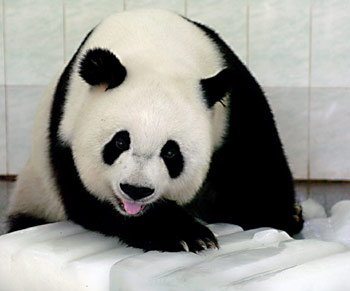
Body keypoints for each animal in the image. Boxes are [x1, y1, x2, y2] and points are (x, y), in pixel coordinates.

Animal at [7, 8, 304, 252]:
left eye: (171, 152)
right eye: (120, 142)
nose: (135, 189)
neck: (156, 50)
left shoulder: (235, 103)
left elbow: (254, 156)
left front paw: (281, 215)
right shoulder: (64, 133)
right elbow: (89, 202)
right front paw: (185, 234)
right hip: (36, 195)